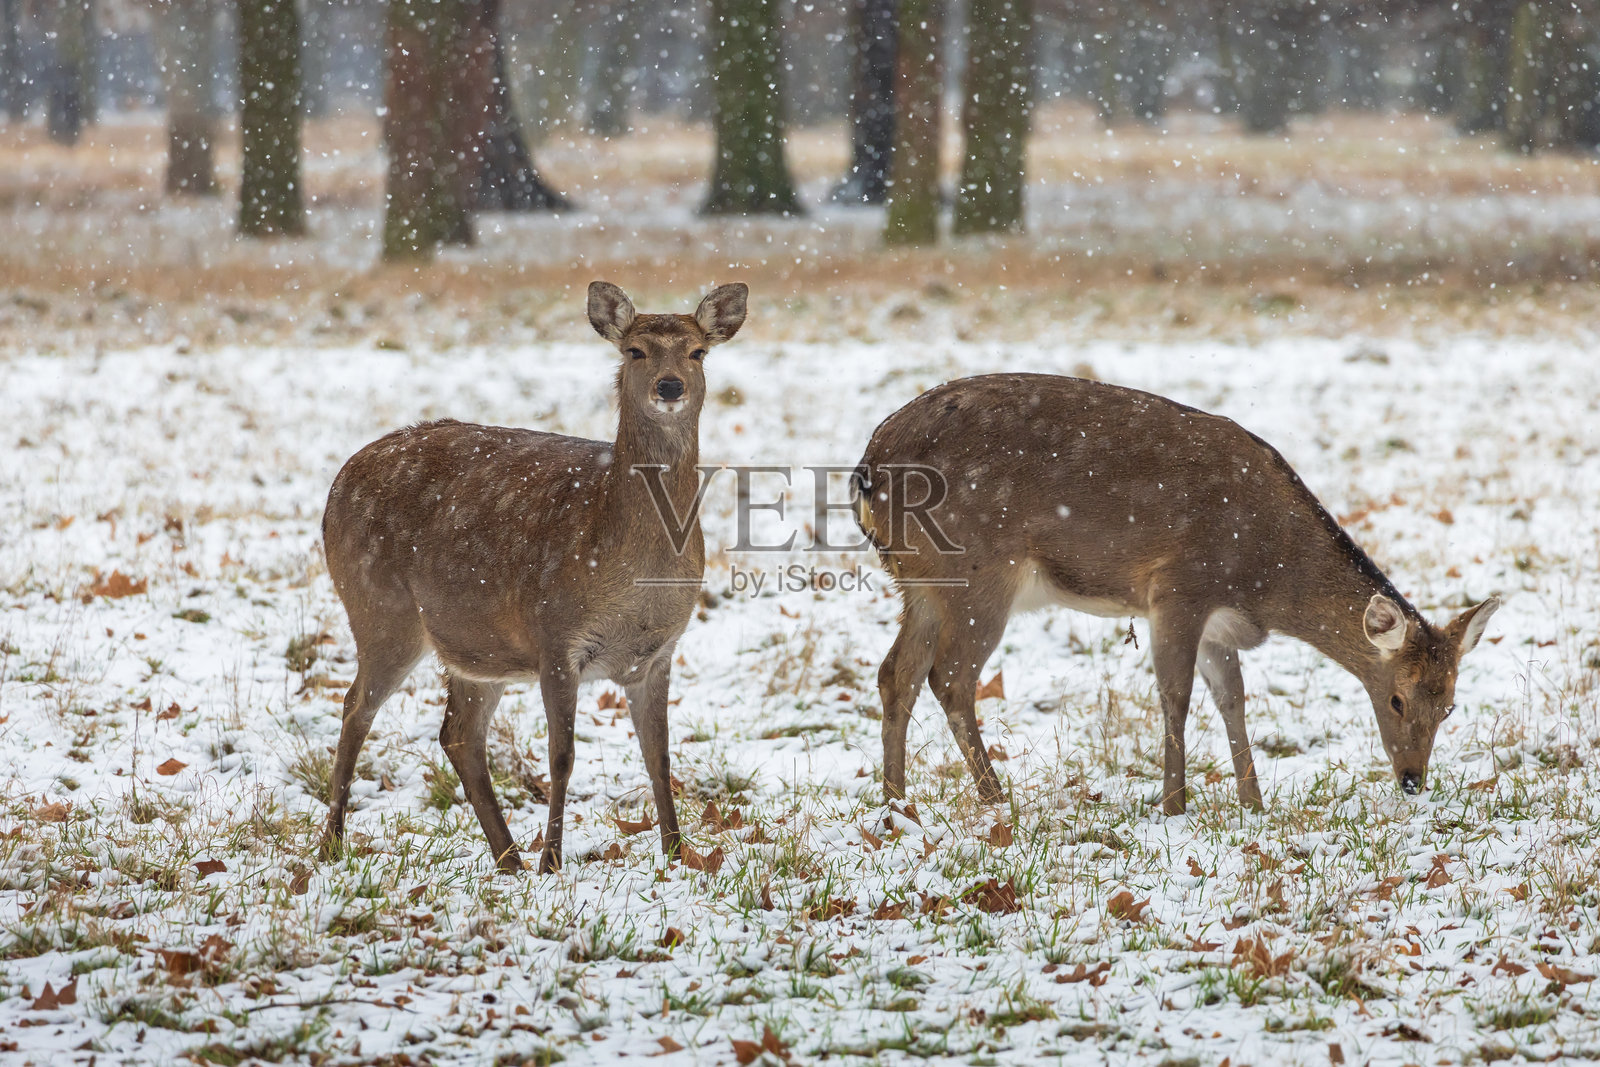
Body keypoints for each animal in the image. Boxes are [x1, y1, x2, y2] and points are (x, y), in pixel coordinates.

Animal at [318, 281, 747, 873]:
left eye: (698, 352)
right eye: (634, 350)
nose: (669, 385)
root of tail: (334, 488)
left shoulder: (659, 652)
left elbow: (659, 758)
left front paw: (679, 856)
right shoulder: (556, 637)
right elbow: (562, 756)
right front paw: (553, 863)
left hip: (474, 644)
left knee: (458, 734)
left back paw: (507, 859)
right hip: (380, 609)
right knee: (355, 706)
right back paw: (333, 843)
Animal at [851, 373, 1500, 815]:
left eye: (1450, 705)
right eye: (1396, 699)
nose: (1413, 779)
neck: (1265, 572)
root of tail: (868, 466)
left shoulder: (1219, 622)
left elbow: (1233, 700)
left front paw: (1253, 804)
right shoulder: (1179, 587)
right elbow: (1176, 696)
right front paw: (1174, 805)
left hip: (920, 583)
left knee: (895, 672)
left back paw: (895, 800)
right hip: (978, 573)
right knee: (950, 678)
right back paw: (995, 797)